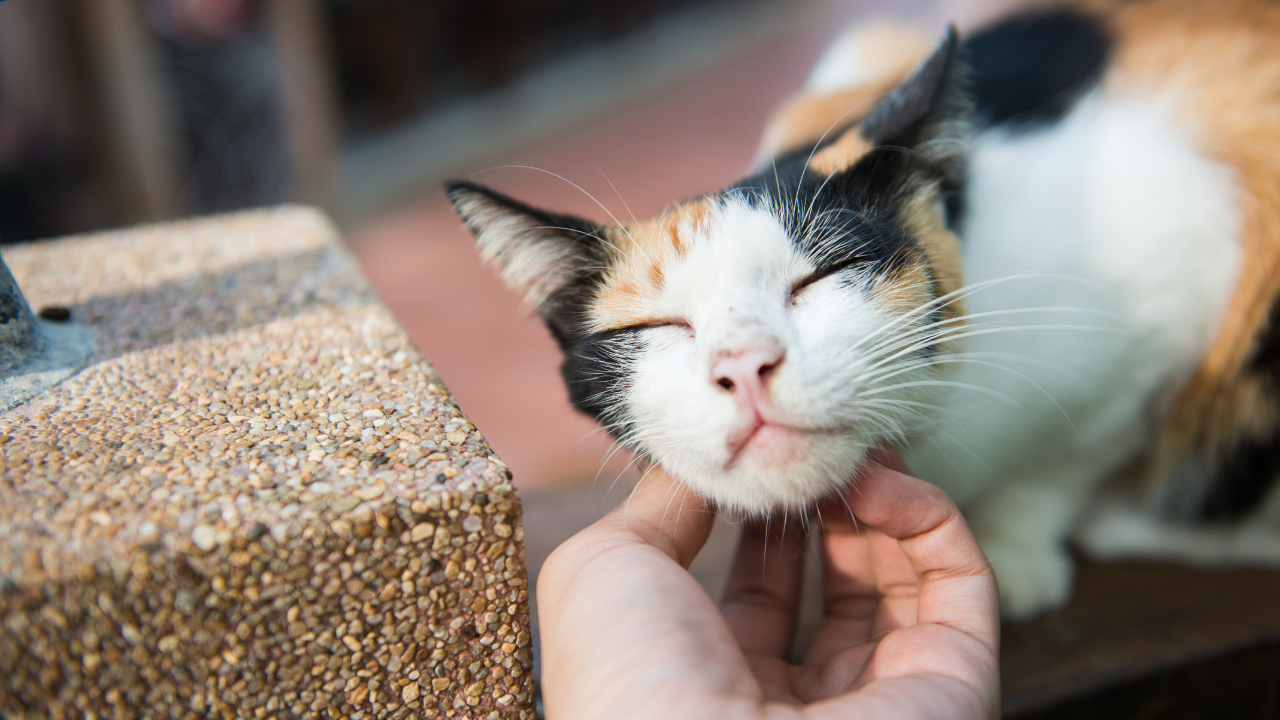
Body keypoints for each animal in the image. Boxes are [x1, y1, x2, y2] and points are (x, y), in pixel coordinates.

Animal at [445, 1, 1280, 617]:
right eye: (656, 327)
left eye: (825, 275)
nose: (745, 364)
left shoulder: (1165, 292)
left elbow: (1061, 464)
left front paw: (1015, 557)